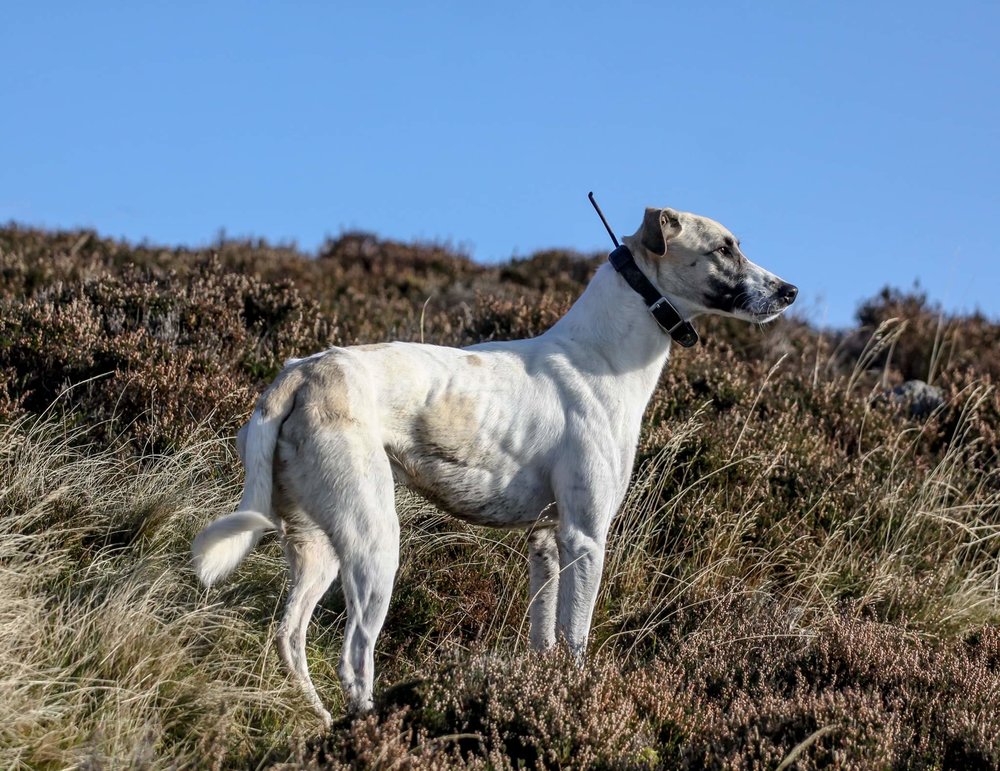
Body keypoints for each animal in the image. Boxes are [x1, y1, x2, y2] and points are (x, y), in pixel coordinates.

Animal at [189, 205, 796, 724]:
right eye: (724, 248)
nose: (789, 291)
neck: (600, 354)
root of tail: (301, 370)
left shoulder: (546, 543)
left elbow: (545, 638)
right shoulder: (585, 537)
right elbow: (576, 638)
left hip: (317, 545)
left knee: (290, 637)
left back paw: (319, 722)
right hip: (373, 542)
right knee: (355, 656)